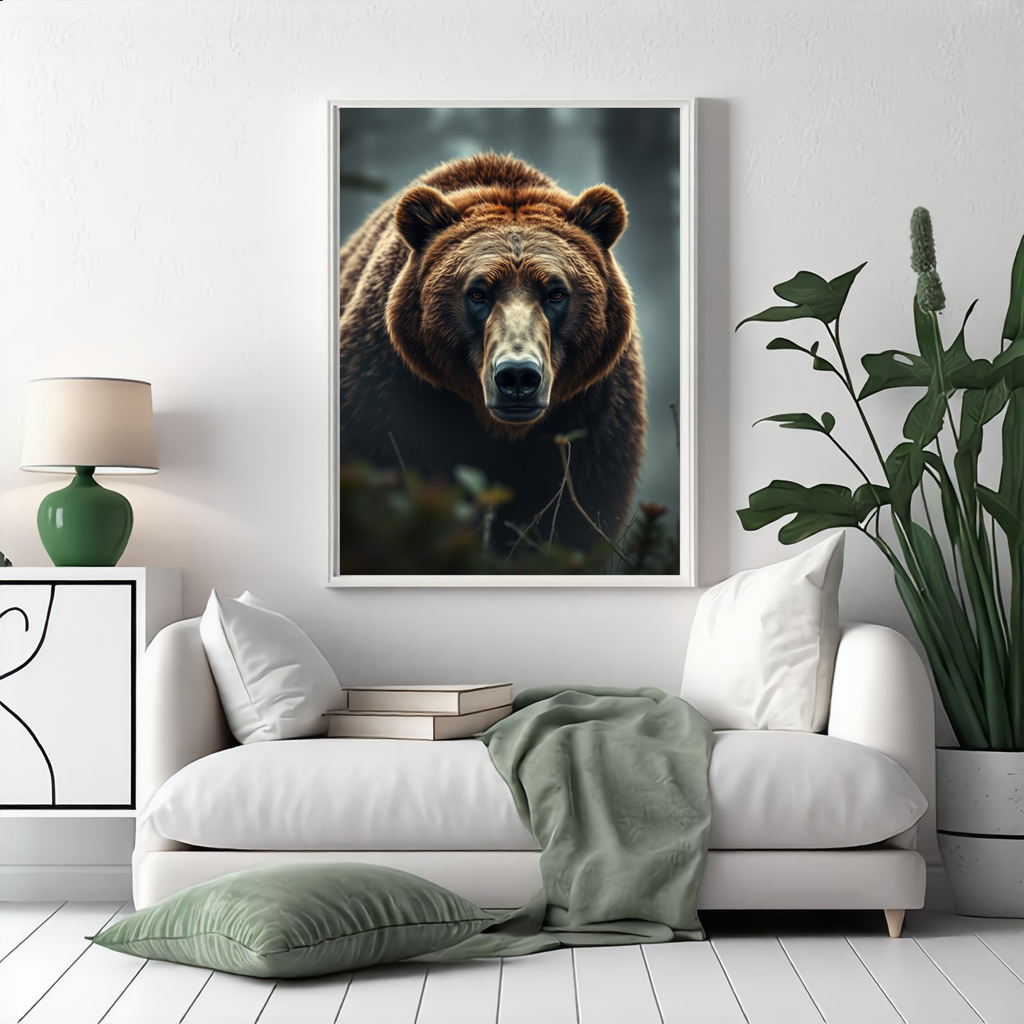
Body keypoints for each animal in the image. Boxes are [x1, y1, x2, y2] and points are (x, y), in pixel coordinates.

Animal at [338, 151, 647, 559]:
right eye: (477, 292)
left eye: (556, 292)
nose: (517, 376)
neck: (496, 428)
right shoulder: (390, 390)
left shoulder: (590, 413)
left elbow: (570, 517)